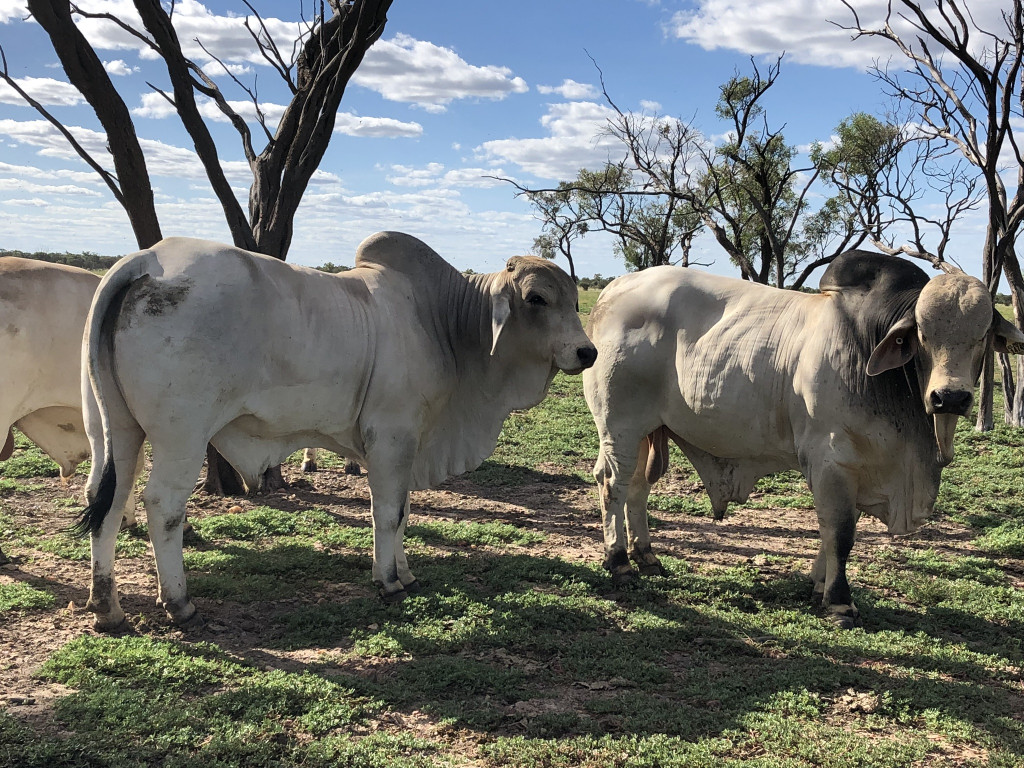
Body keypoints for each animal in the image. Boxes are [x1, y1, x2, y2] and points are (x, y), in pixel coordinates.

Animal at [77, 233, 598, 630]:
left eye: (575, 300)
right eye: (536, 298)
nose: (587, 352)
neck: (442, 322)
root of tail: (149, 258)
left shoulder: (407, 445)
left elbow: (404, 514)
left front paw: (405, 573)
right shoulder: (391, 436)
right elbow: (388, 514)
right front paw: (388, 581)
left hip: (115, 430)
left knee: (106, 500)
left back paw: (107, 608)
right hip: (180, 435)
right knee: (161, 506)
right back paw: (179, 602)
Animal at [585, 256, 1024, 626]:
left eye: (983, 335)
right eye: (923, 335)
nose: (950, 397)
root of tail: (612, 290)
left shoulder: (860, 464)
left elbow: (835, 533)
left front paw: (818, 588)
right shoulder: (831, 459)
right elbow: (840, 532)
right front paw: (840, 603)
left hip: (646, 431)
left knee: (637, 488)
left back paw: (647, 557)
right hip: (619, 426)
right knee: (612, 484)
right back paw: (620, 562)